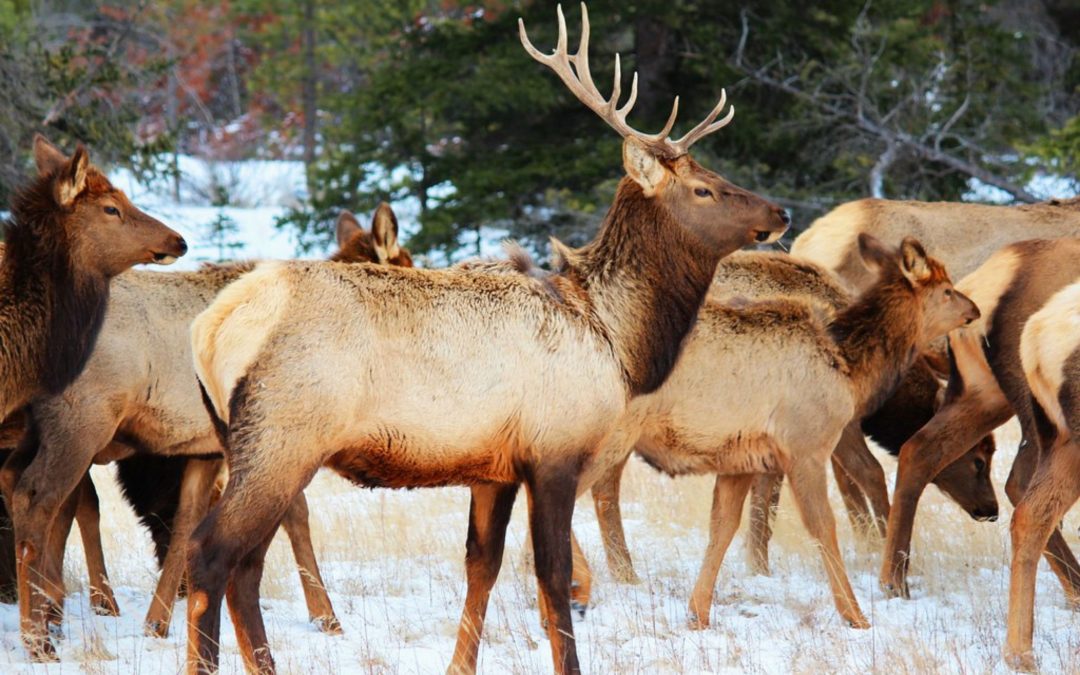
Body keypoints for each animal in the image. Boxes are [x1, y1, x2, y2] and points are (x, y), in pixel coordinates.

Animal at [179, 6, 786, 673]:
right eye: (704, 188)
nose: (780, 212)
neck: (617, 337)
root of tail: (210, 327)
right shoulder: (555, 451)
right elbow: (553, 578)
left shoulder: (493, 467)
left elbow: (482, 568)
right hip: (283, 437)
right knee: (211, 553)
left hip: (250, 443)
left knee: (248, 566)